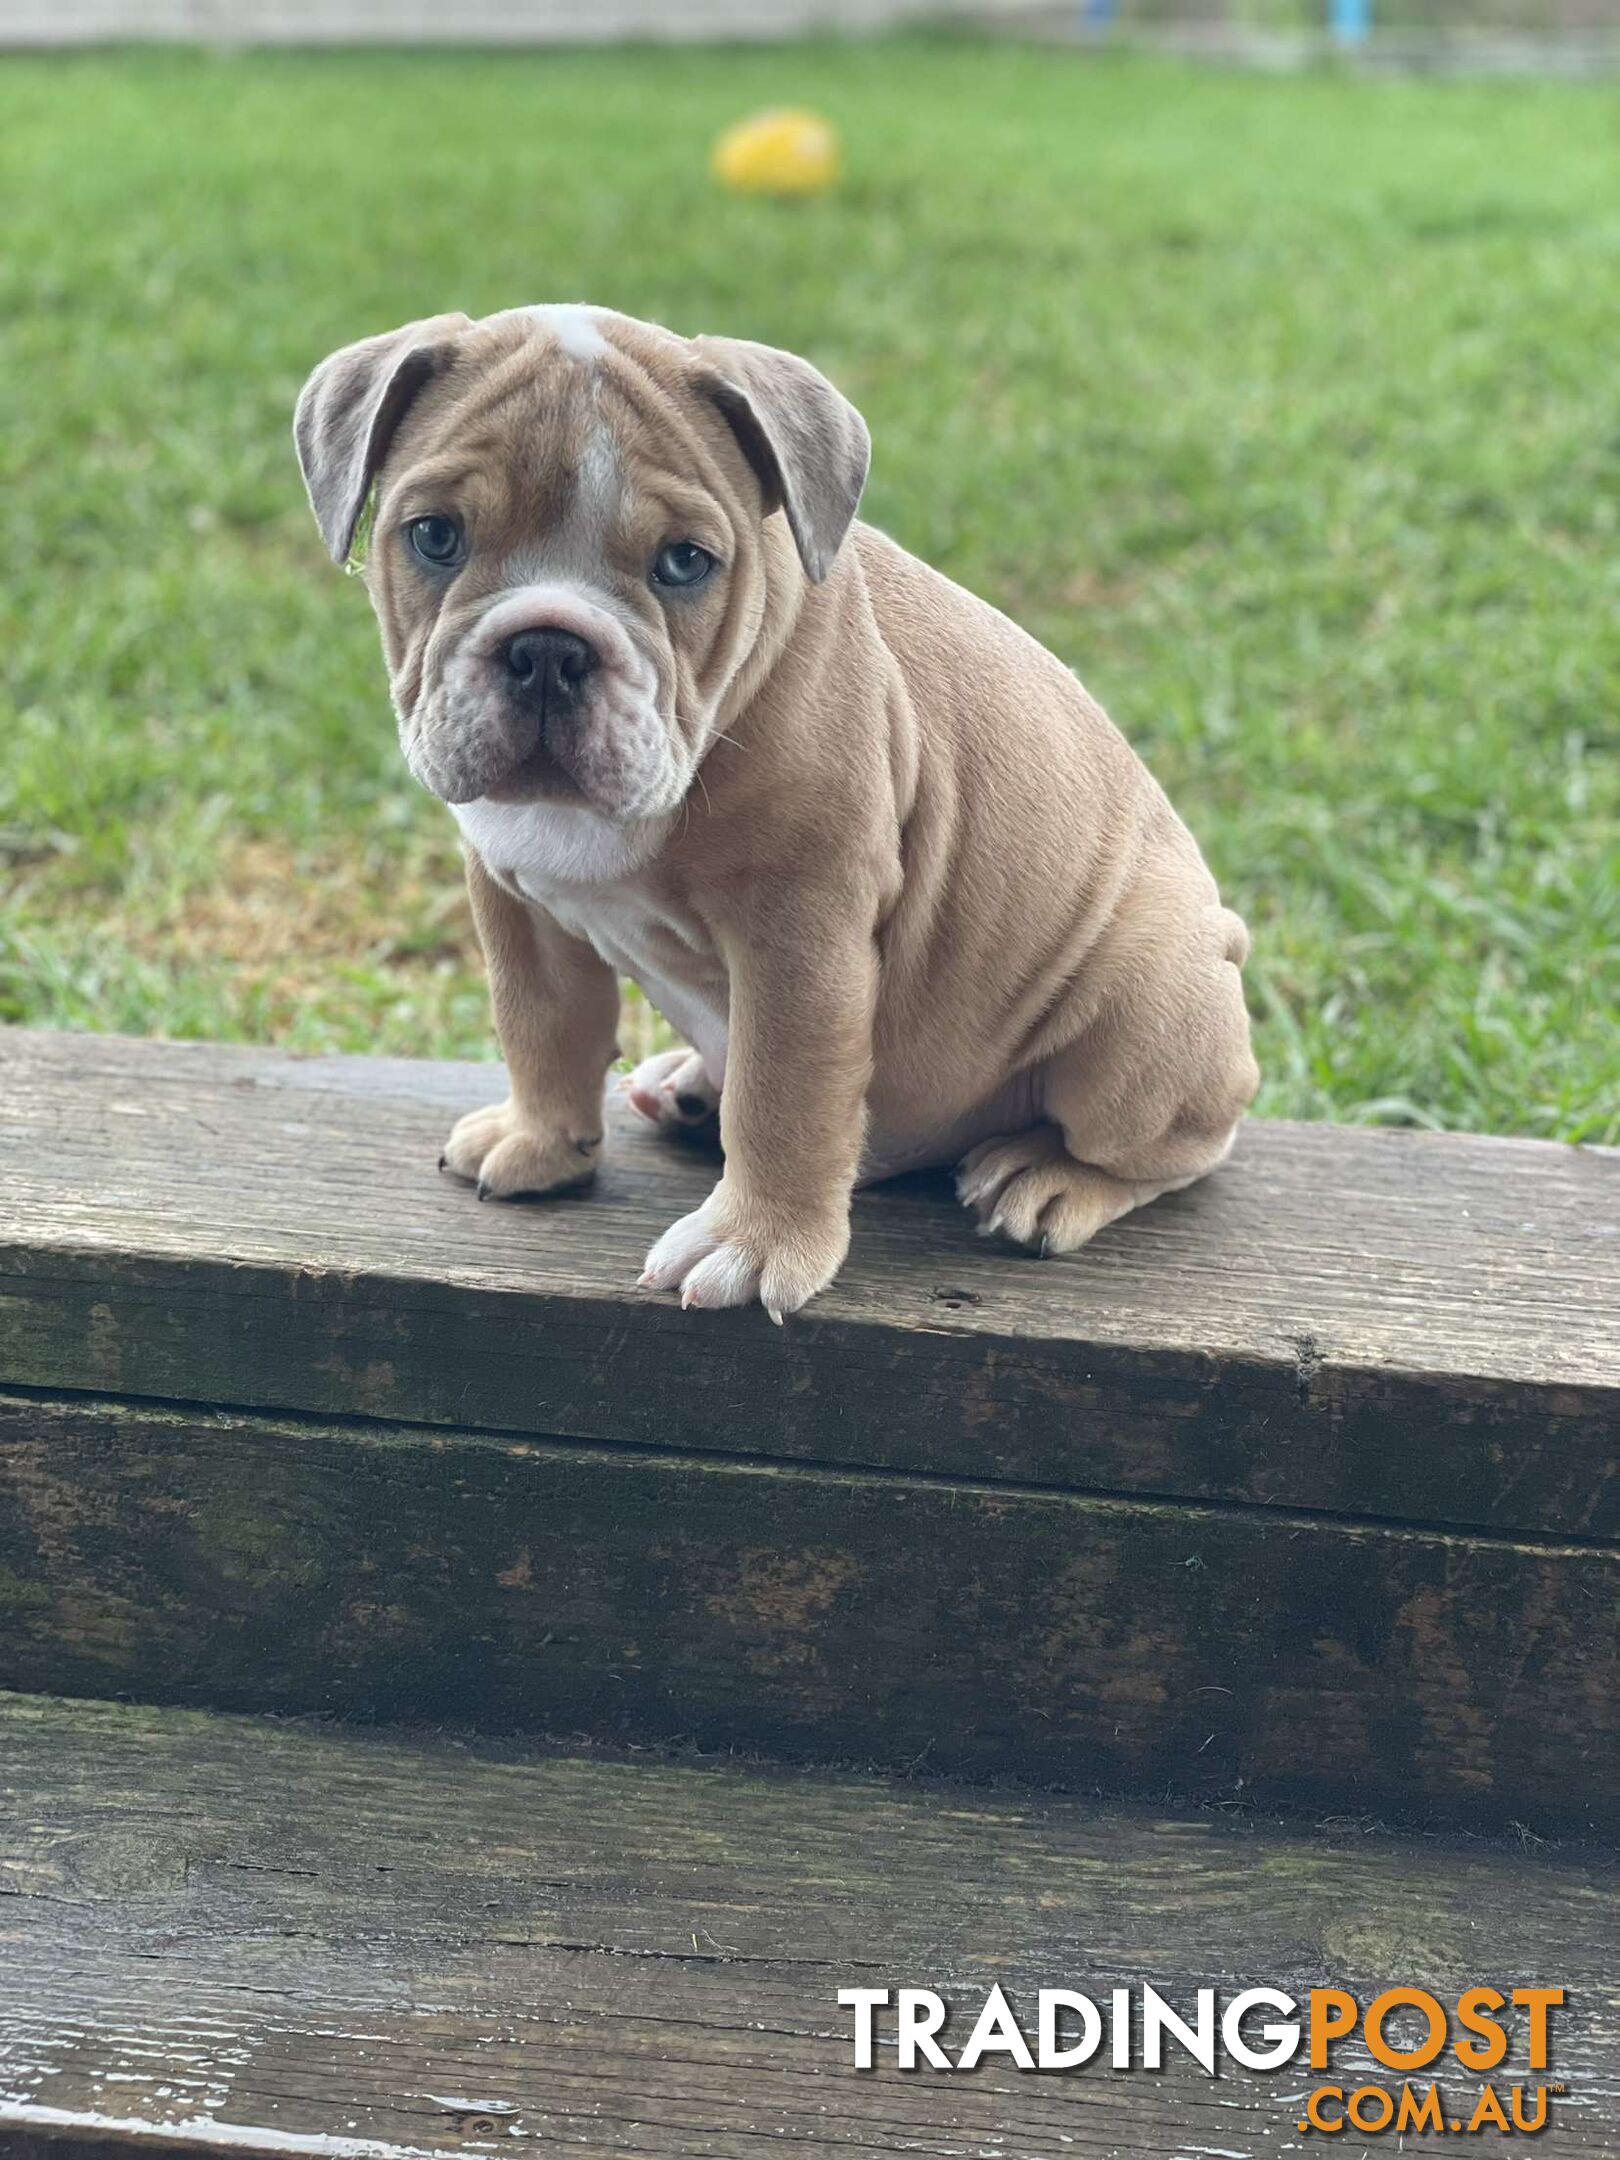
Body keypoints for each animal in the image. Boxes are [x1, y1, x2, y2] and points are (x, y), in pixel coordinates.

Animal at [291, 304, 1261, 1313]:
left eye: (685, 563)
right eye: (435, 537)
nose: (549, 649)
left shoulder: (798, 934)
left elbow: (784, 1094)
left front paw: (752, 1245)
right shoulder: (516, 900)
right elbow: (542, 1027)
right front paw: (541, 1142)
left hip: (1142, 1011)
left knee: (1180, 1145)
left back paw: (1054, 1178)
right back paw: (688, 1087)